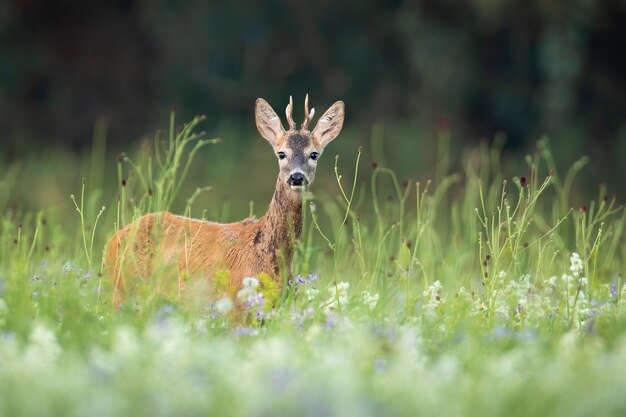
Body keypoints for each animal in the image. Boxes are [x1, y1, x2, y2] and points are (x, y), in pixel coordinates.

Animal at [104, 96, 344, 308]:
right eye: (281, 153)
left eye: (313, 154)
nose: (296, 177)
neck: (271, 256)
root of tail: (112, 240)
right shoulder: (236, 304)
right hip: (123, 288)